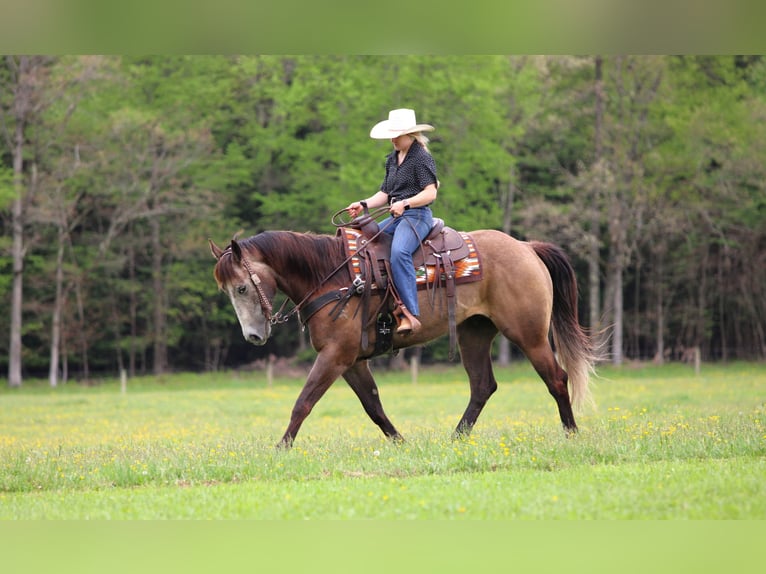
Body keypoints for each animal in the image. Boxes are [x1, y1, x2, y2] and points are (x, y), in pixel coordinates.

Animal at [209, 222, 595, 448]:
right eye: (227, 291)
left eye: (242, 287)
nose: (254, 336)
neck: (333, 278)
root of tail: (527, 248)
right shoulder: (351, 361)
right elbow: (373, 406)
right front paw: (400, 442)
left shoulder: (335, 356)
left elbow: (303, 402)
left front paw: (281, 448)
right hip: (473, 334)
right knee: (483, 386)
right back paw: (456, 438)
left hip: (529, 336)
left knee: (557, 379)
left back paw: (572, 434)